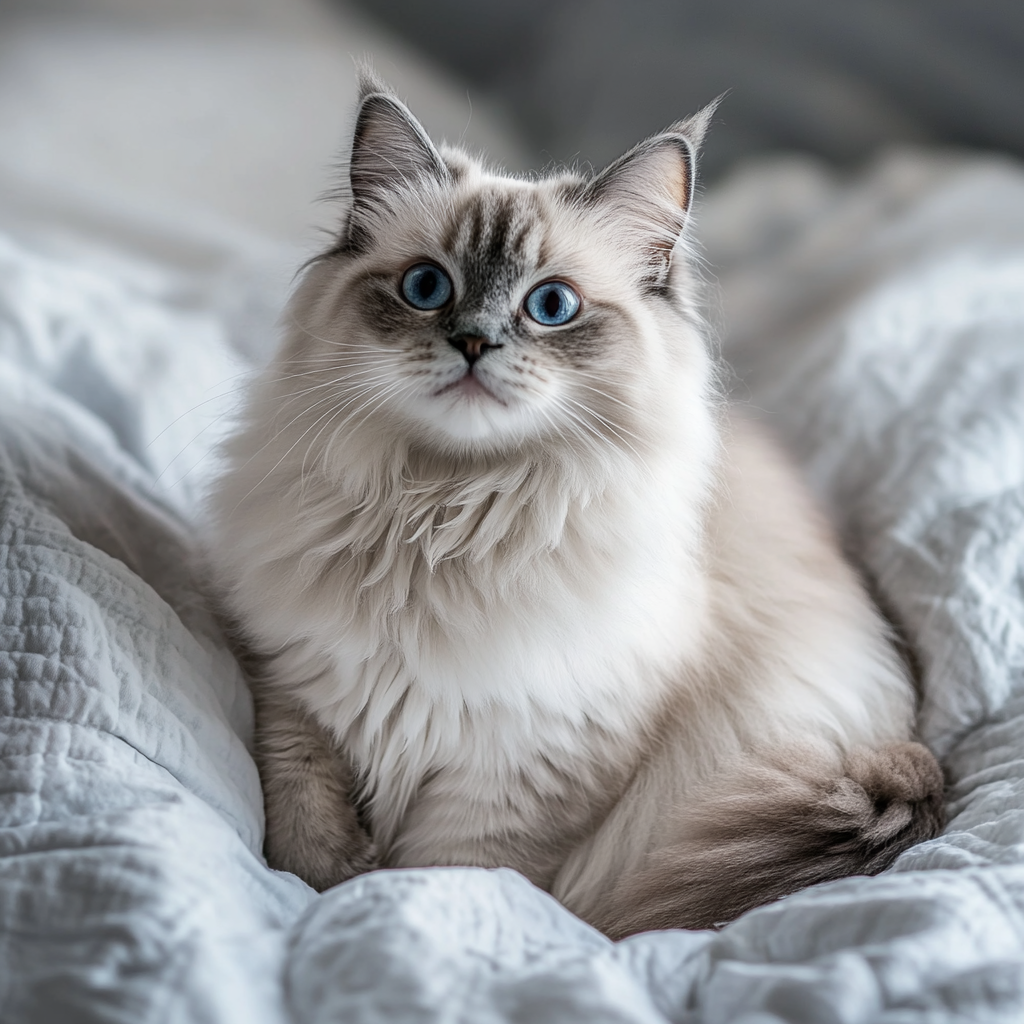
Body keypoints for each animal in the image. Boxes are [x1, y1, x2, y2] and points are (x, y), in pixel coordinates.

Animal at [207, 70, 942, 937]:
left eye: (550, 306)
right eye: (427, 287)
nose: (474, 342)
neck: (440, 516)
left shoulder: (519, 778)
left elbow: (440, 881)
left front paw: (375, 914)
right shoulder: (293, 692)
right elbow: (304, 833)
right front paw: (316, 896)